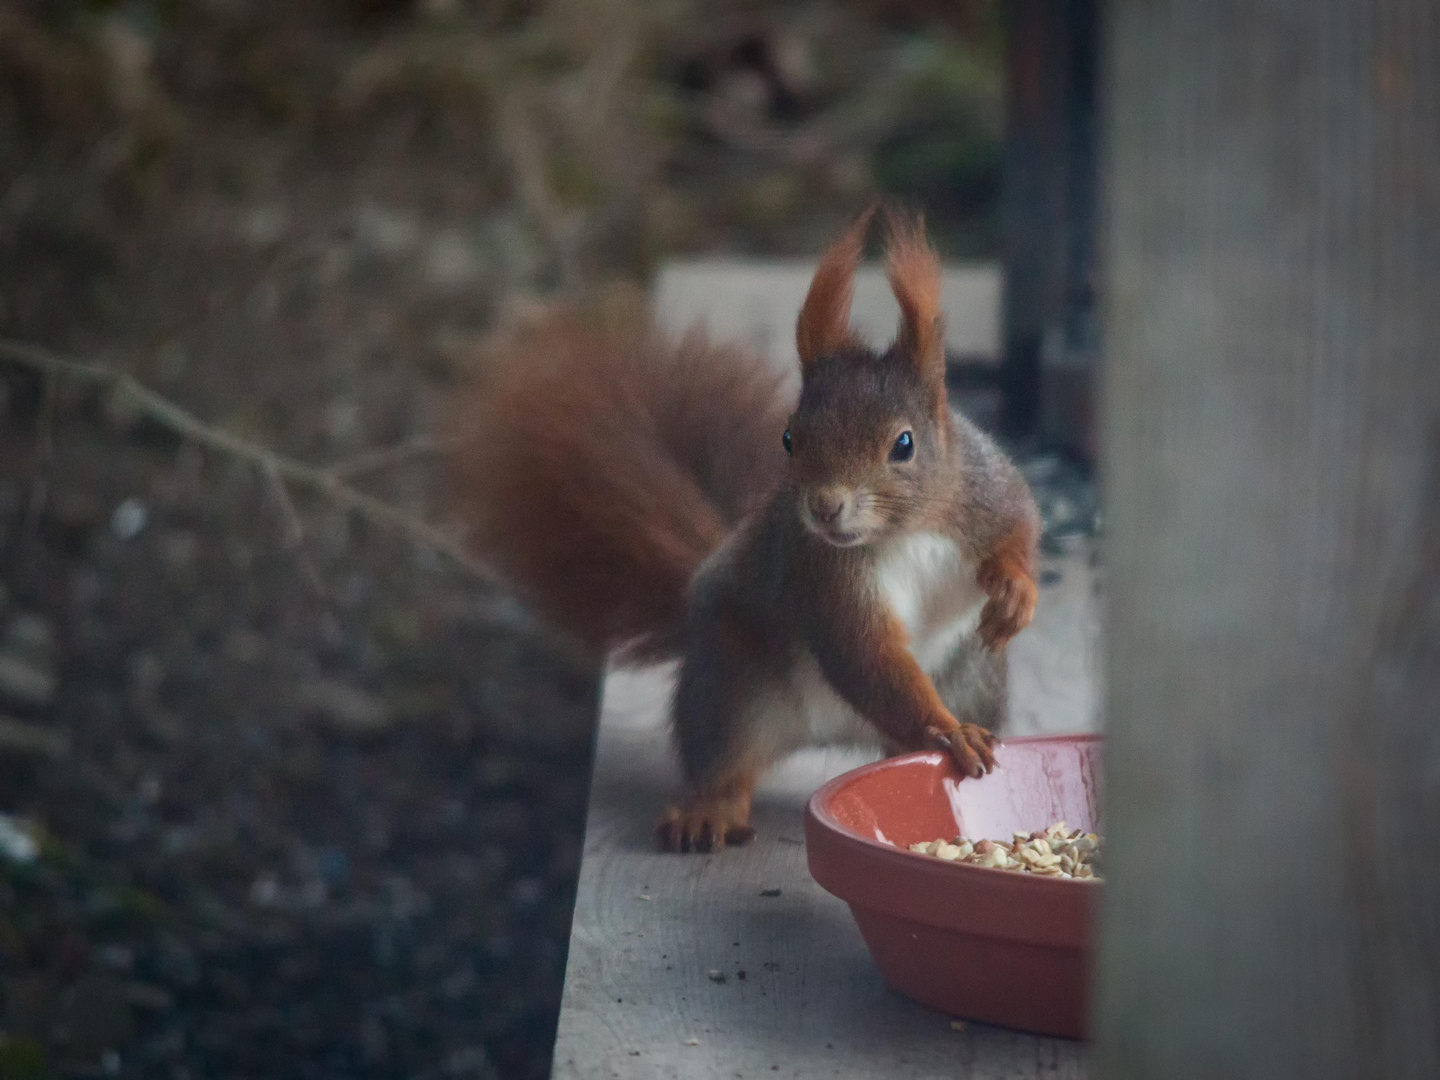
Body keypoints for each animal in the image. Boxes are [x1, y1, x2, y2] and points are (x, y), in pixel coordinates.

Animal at [449, 208, 1036, 852]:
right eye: (789, 438)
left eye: (904, 444)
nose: (824, 508)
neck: (903, 531)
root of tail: (830, 733)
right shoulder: (823, 574)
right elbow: (865, 654)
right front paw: (945, 732)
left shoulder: (988, 490)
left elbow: (1022, 528)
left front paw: (1015, 592)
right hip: (731, 688)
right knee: (727, 765)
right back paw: (710, 811)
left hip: (973, 677)